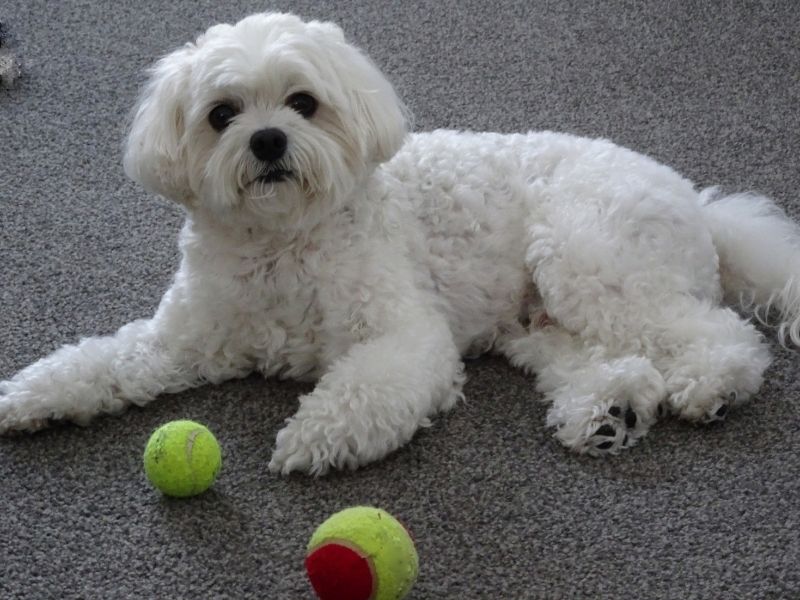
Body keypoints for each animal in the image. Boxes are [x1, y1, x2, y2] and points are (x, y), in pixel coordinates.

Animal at [1, 11, 800, 476]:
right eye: (221, 114)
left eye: (303, 103)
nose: (267, 141)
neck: (282, 243)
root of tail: (698, 203)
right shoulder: (186, 342)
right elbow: (104, 361)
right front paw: (34, 397)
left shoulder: (405, 336)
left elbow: (367, 388)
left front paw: (316, 437)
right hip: (536, 320)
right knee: (612, 361)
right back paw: (609, 413)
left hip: (589, 259)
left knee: (716, 335)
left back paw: (711, 385)